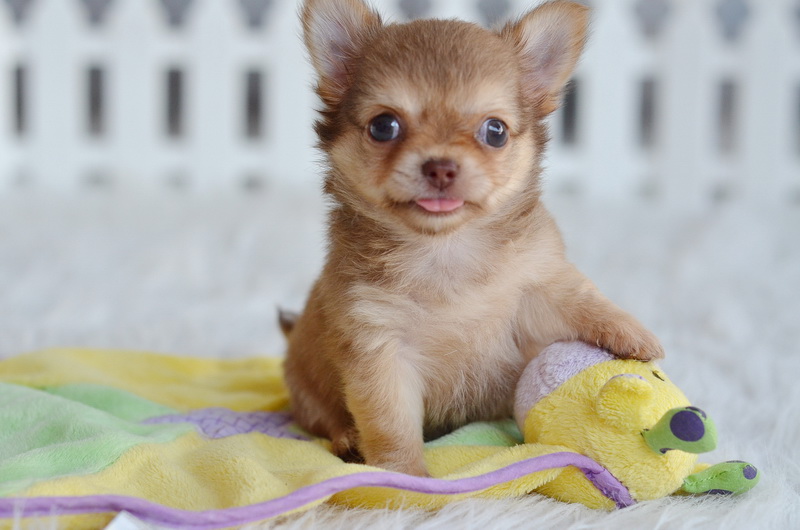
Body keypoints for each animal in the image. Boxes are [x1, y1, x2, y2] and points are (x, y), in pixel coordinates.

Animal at [281, 0, 664, 477]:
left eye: (494, 131)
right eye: (384, 126)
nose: (441, 167)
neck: (445, 248)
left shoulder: (539, 284)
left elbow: (584, 300)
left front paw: (631, 334)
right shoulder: (378, 348)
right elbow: (391, 425)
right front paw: (406, 476)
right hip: (305, 391)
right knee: (322, 419)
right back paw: (346, 438)